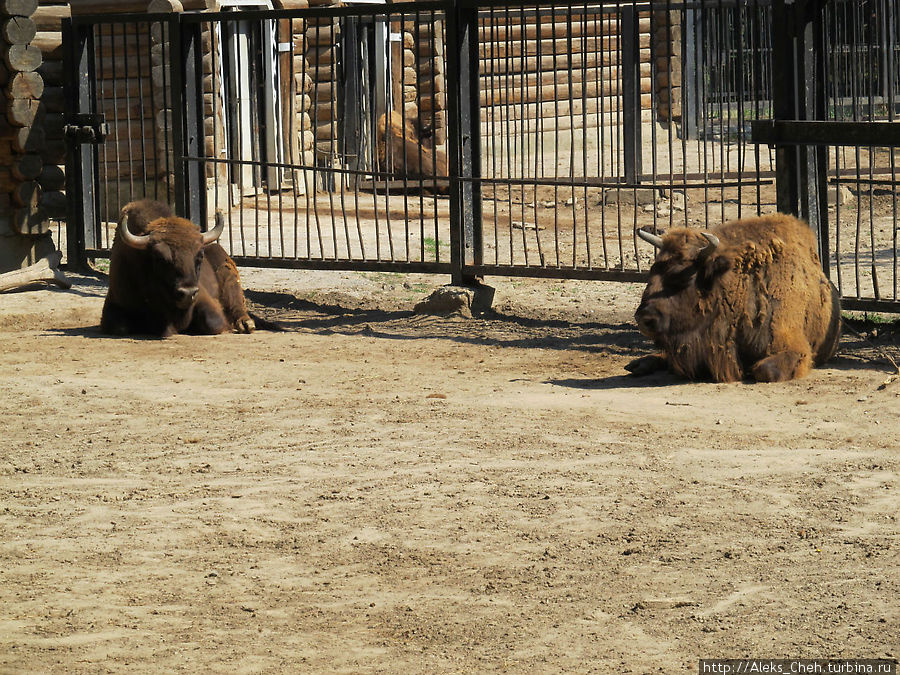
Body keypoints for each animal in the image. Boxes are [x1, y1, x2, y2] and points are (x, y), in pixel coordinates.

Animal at [102, 199, 256, 338]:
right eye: (159, 257)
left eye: (200, 256)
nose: (188, 293)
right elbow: (119, 328)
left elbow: (213, 322)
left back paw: (246, 324)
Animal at [624, 217, 844, 386]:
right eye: (652, 271)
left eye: (683, 275)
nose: (644, 319)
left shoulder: (794, 348)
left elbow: (765, 370)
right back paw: (638, 365)